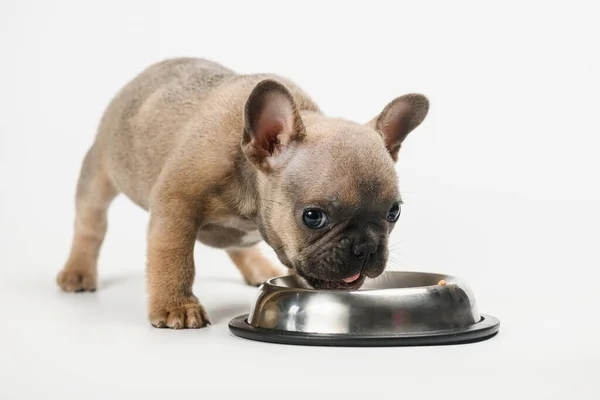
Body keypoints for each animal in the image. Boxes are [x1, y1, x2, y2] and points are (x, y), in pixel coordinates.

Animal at [57, 57, 426, 330]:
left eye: (394, 212)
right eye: (313, 217)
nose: (366, 247)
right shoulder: (175, 207)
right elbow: (174, 259)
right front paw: (176, 306)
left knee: (237, 246)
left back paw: (258, 268)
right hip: (99, 174)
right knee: (90, 225)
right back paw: (77, 271)